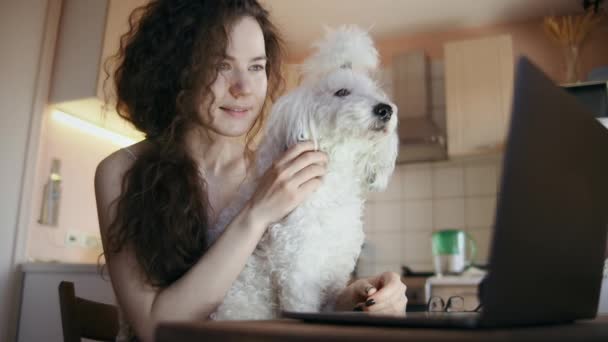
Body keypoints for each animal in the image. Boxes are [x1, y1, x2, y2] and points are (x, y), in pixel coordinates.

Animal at [211, 25, 402, 320]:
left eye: (375, 92)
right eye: (342, 92)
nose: (385, 109)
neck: (334, 181)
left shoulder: (335, 271)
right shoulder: (299, 271)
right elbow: (301, 304)